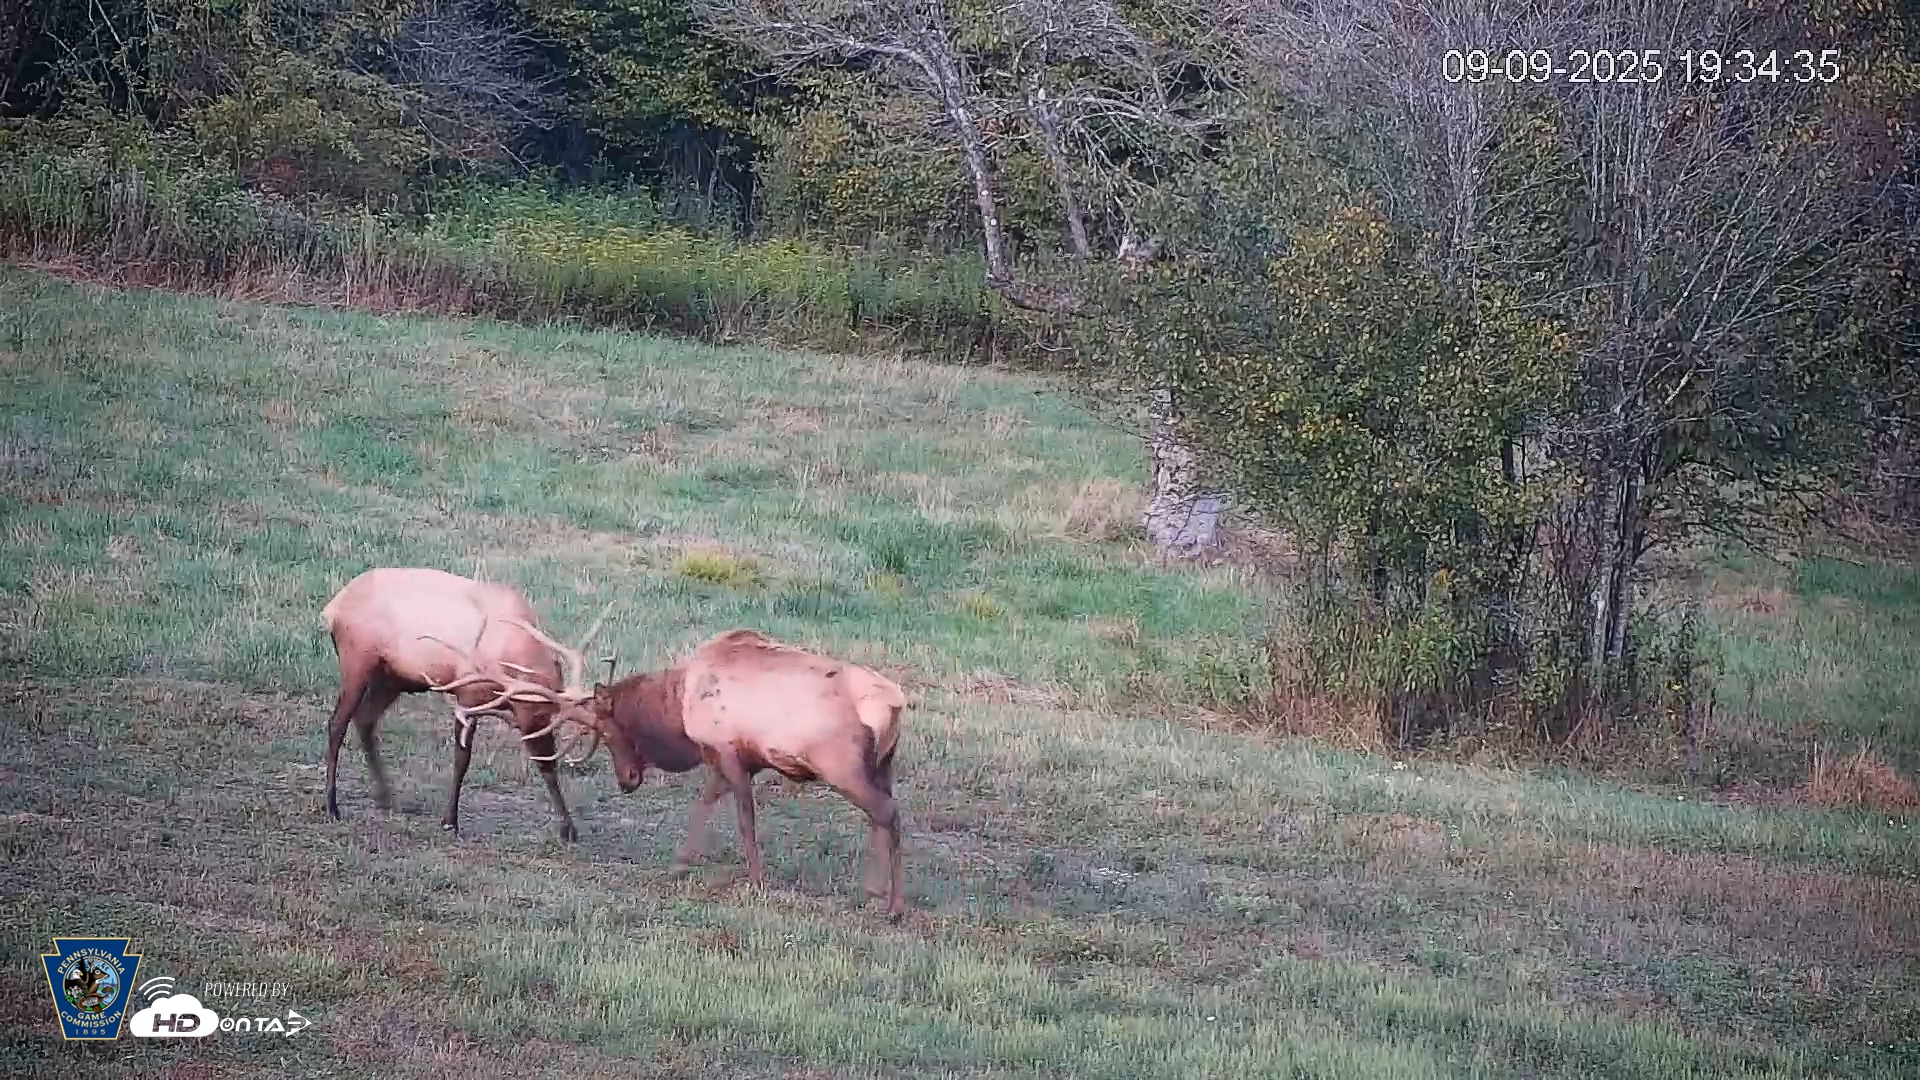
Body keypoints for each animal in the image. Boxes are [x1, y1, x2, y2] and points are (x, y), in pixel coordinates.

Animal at [319, 567, 612, 841]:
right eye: (532, 714)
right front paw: (450, 821)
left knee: (365, 720)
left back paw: (386, 798)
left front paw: (569, 829)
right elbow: (462, 759)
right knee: (337, 724)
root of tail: (332, 609)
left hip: (392, 677)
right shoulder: (467, 694)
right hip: (357, 662)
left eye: (550, 717)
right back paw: (332, 806)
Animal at [443, 626, 911, 919]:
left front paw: (755, 880)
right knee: (881, 815)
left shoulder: (728, 751)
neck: (677, 707)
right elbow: (705, 804)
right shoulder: (726, 758)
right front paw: (679, 864)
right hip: (881, 766)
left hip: (842, 765)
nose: (627, 780)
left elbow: (744, 818)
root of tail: (895, 703)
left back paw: (894, 906)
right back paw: (873, 891)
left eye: (608, 730)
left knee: (887, 813)